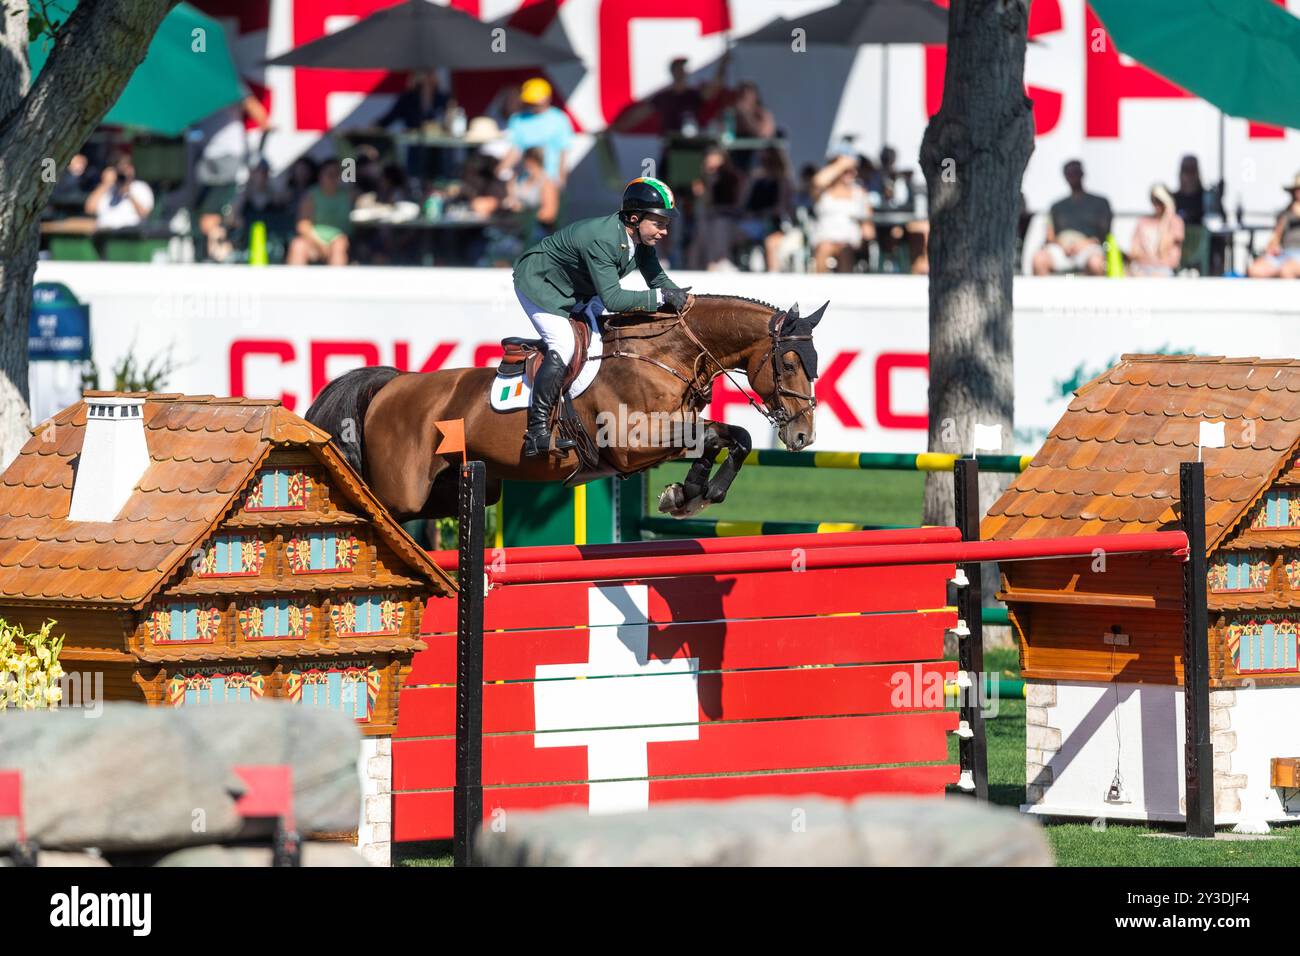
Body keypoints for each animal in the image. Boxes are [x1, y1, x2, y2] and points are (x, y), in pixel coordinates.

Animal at [304, 295, 821, 528]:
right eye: (789, 363)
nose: (803, 437)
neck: (666, 353)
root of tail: (391, 384)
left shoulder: (668, 433)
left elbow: (732, 437)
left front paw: (689, 494)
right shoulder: (633, 444)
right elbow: (716, 436)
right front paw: (690, 493)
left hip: (464, 487)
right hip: (401, 490)